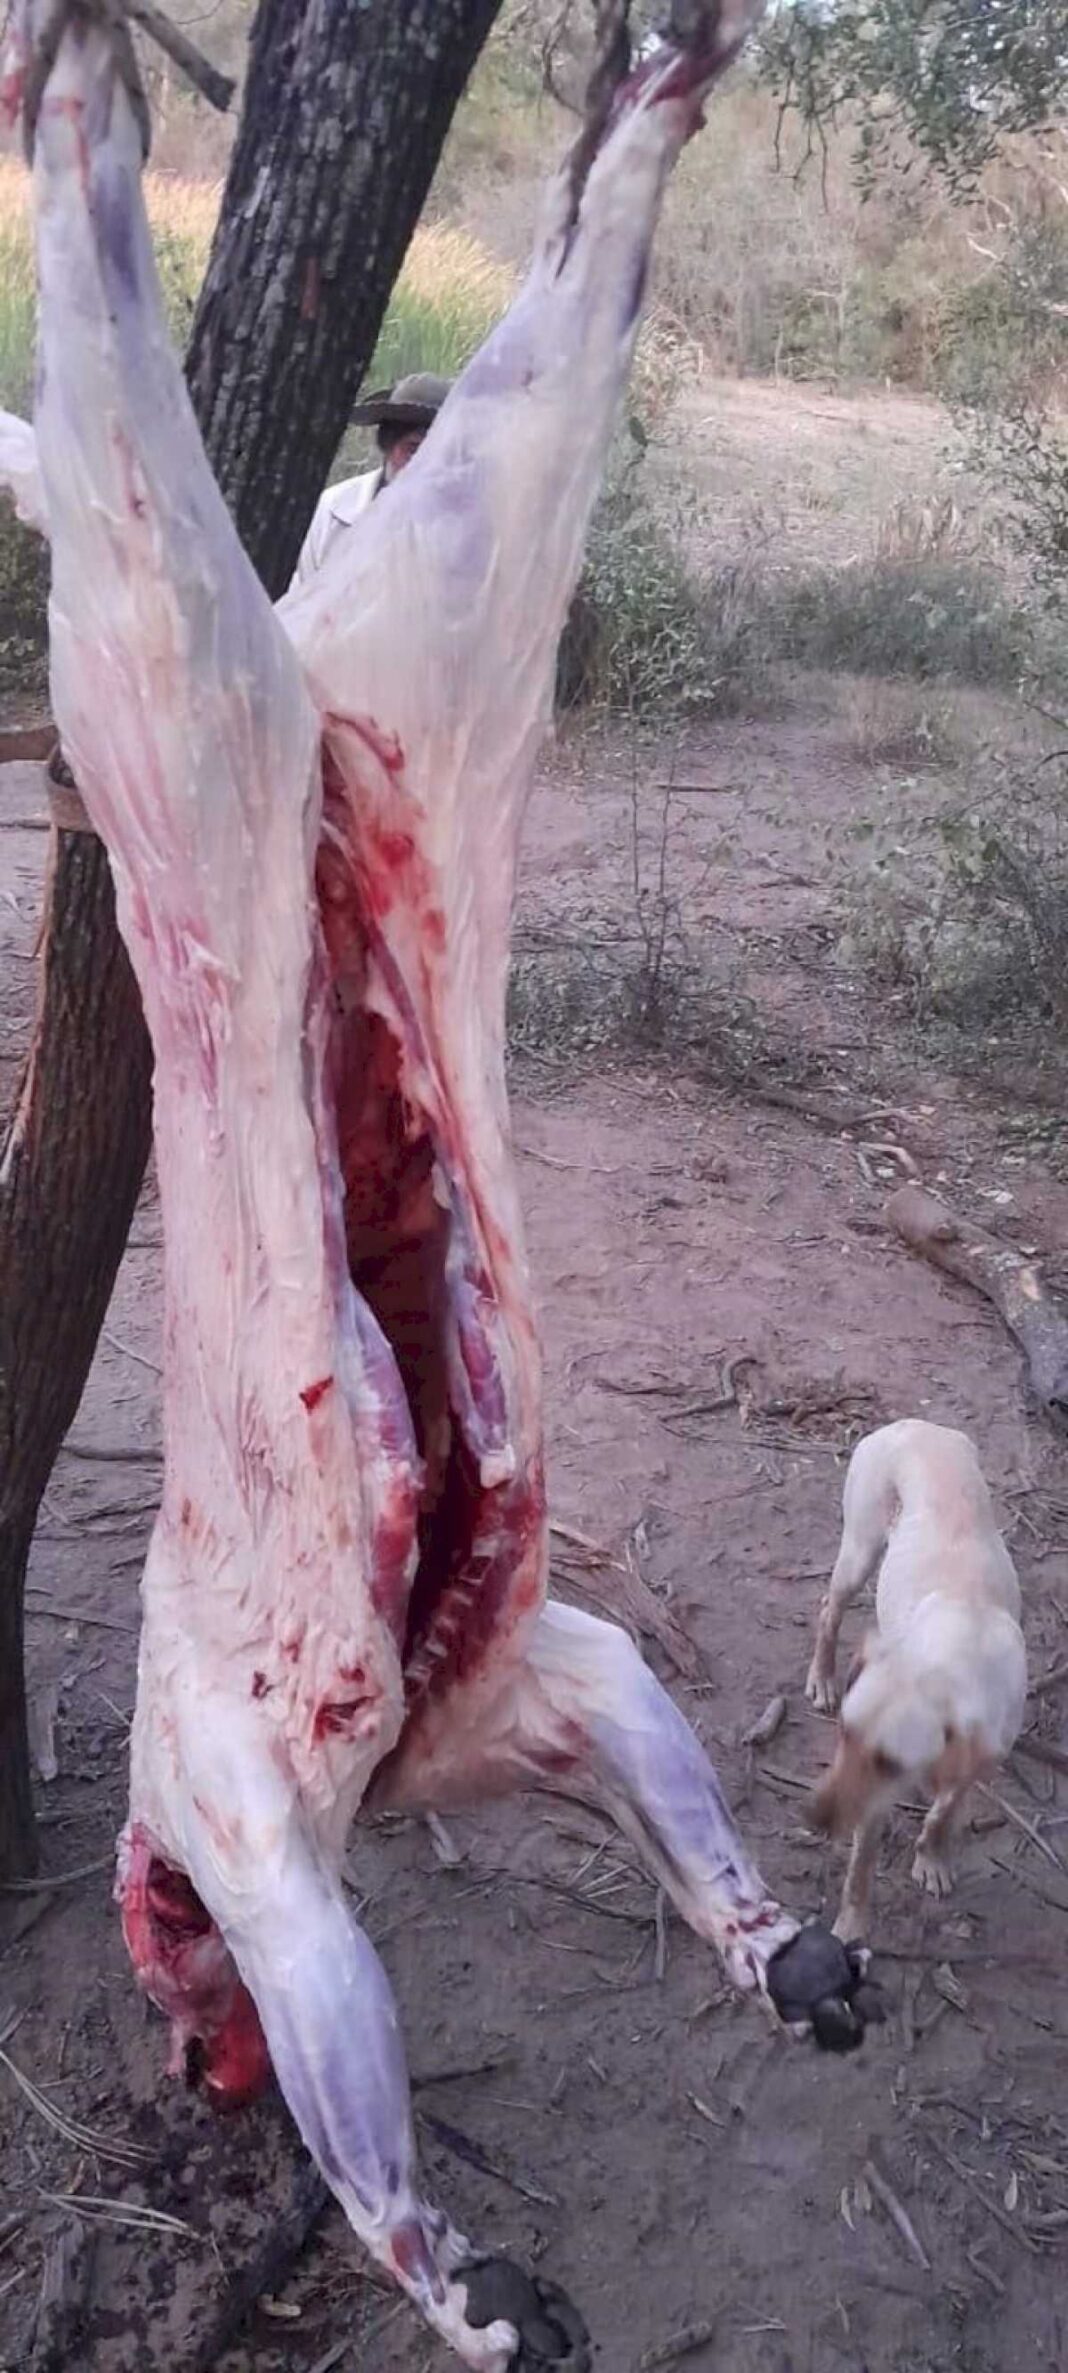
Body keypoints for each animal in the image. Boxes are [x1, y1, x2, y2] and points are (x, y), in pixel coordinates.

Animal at [802, 1414, 1025, 1936]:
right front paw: (852, 1925)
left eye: (889, 1762)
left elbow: (945, 1811)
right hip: (860, 1550)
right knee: (828, 1610)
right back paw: (822, 1675)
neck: (962, 1648)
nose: (813, 1817)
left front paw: (933, 1857)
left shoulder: (980, 1759)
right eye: (844, 1732)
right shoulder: (870, 1803)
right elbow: (861, 1866)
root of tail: (915, 1424)